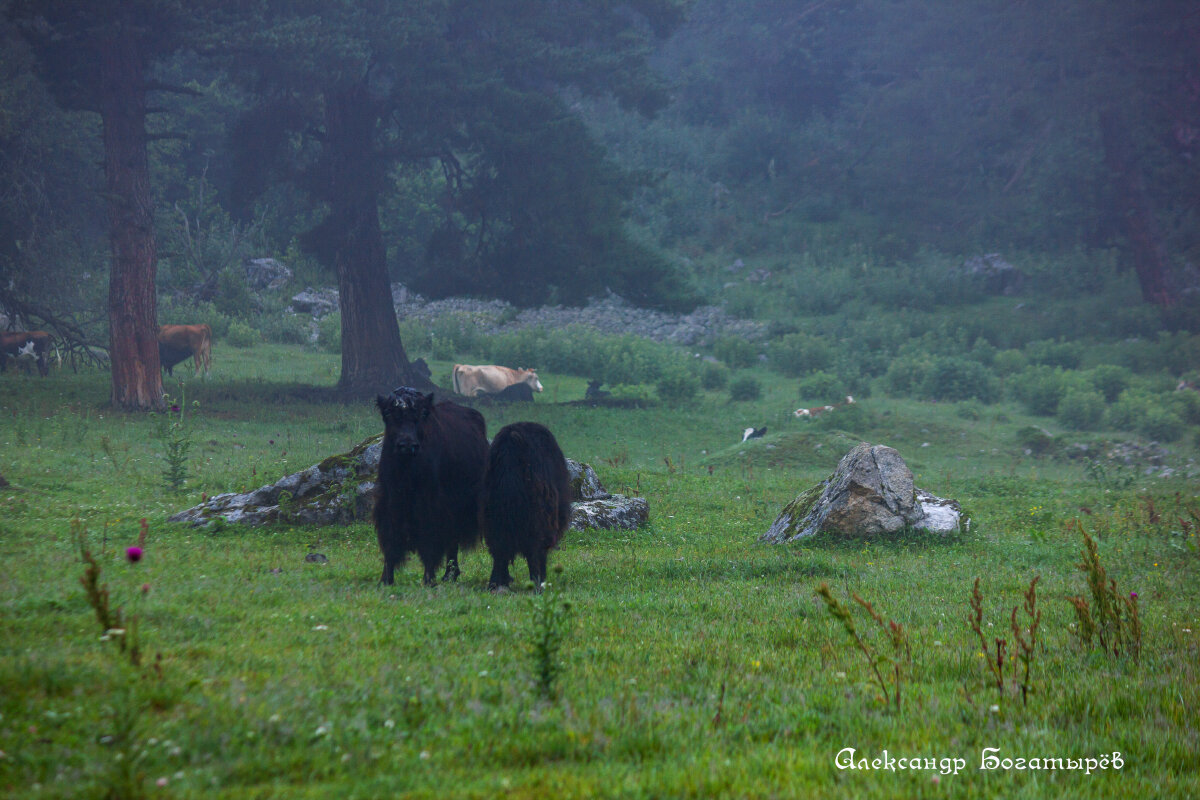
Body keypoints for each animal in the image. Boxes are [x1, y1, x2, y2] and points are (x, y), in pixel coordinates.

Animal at [372, 383, 489, 585]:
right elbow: (391, 536)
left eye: (422, 415)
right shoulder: (390, 501)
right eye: (388, 414)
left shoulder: (432, 504)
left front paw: (428, 579)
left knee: (452, 539)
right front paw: (385, 579)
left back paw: (449, 574)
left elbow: (429, 537)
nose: (407, 445)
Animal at [477, 422, 571, 592]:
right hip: (536, 519)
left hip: (493, 516)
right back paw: (537, 585)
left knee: (499, 550)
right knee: (533, 550)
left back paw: (495, 584)